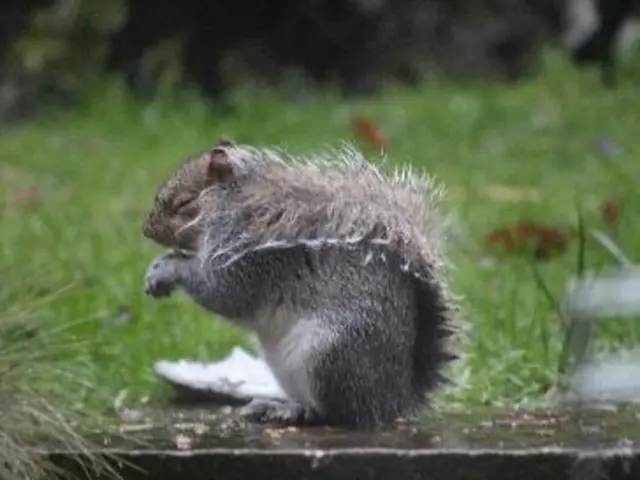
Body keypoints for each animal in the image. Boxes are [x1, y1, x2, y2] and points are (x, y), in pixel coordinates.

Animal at [142, 139, 458, 428]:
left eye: (184, 203)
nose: (146, 230)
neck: (231, 204)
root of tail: (395, 398)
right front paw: (157, 268)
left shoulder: (249, 257)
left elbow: (222, 291)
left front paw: (169, 269)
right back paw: (272, 405)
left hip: (328, 354)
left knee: (338, 413)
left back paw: (294, 411)